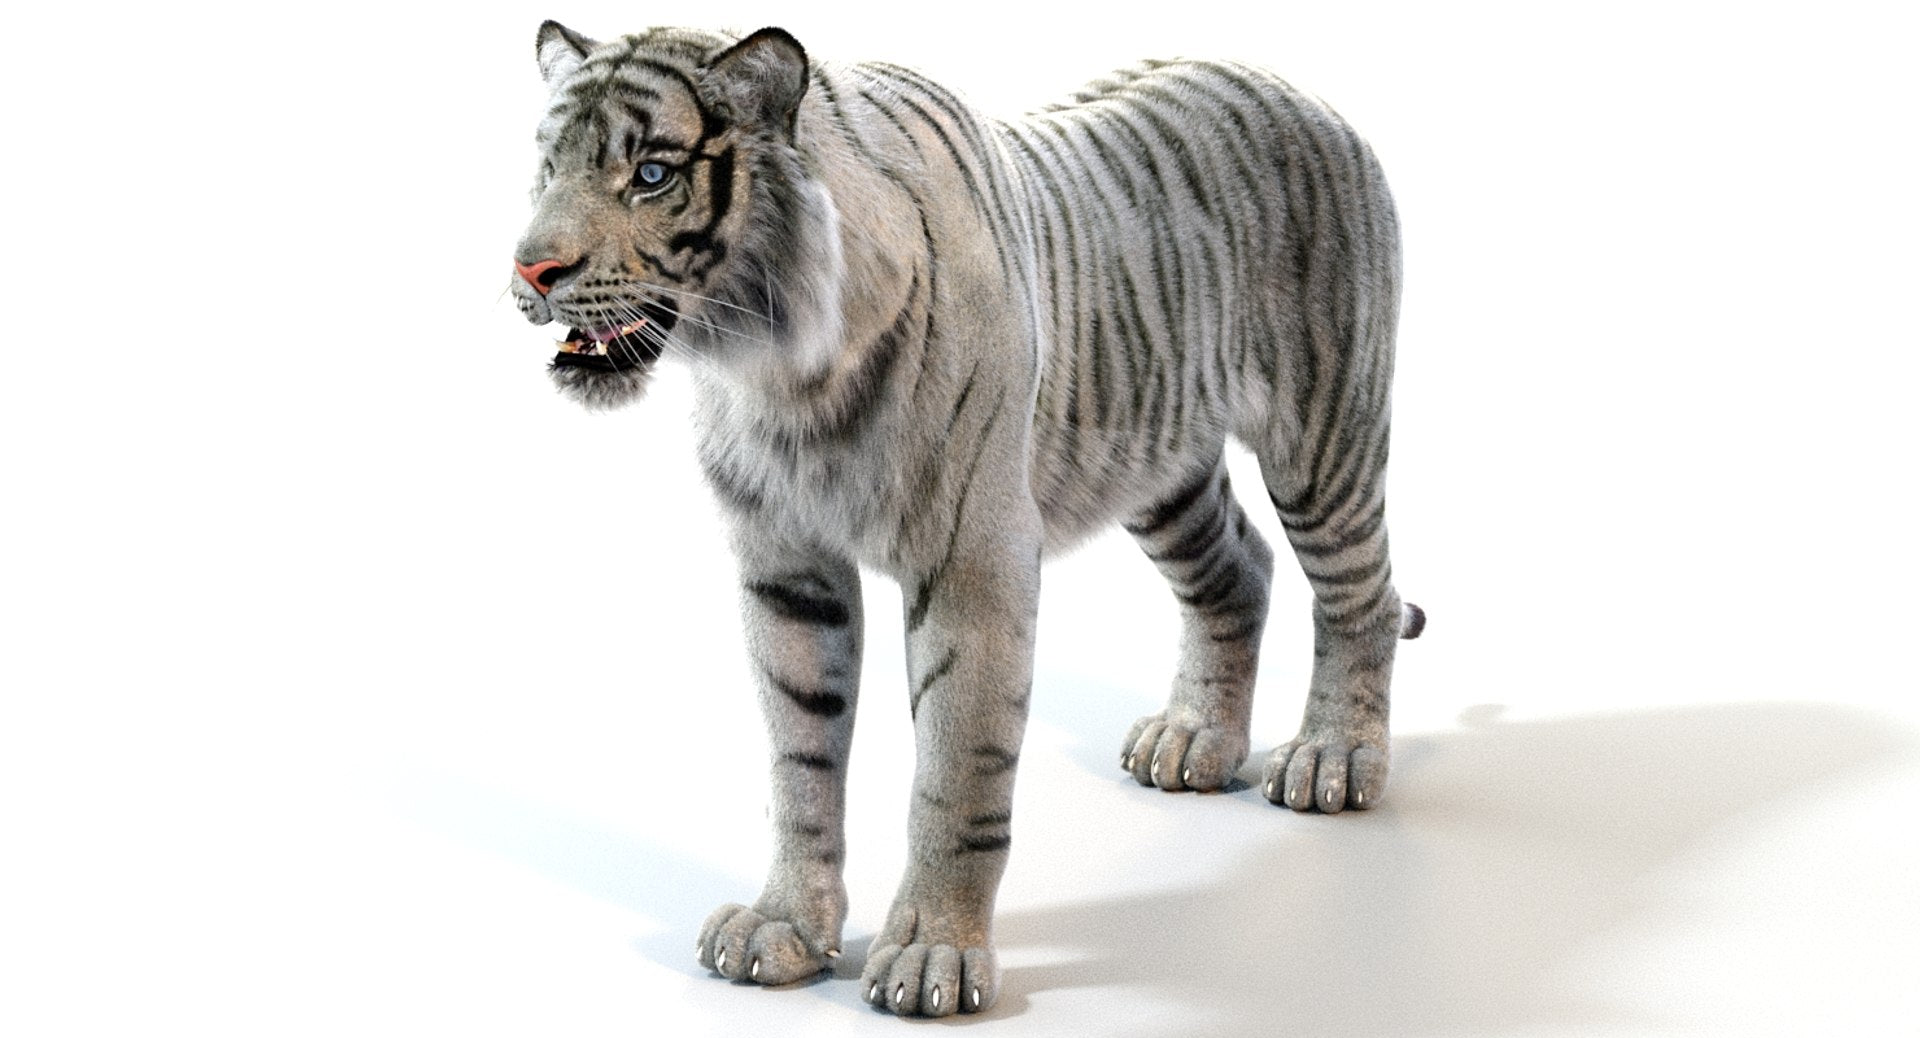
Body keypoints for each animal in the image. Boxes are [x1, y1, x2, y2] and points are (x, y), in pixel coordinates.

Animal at [509, 22, 1423, 1017]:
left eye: (650, 174)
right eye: (546, 167)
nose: (531, 268)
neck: (775, 364)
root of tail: (1294, 88)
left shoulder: (972, 559)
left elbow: (956, 772)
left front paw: (929, 958)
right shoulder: (784, 566)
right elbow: (798, 761)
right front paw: (783, 930)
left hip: (1322, 433)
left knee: (1360, 595)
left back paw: (1332, 759)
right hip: (1158, 463)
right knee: (1240, 570)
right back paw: (1193, 741)